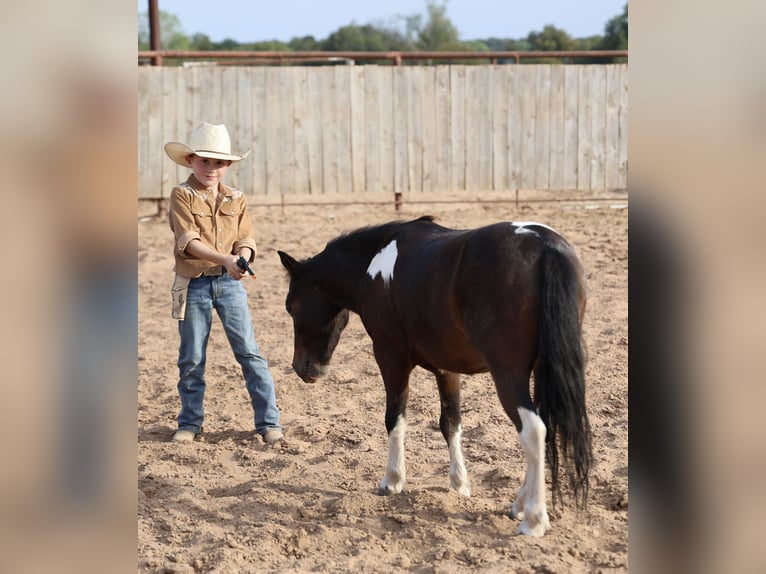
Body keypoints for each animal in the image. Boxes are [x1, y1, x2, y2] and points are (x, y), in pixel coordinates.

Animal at [278, 215, 592, 537]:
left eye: (292, 307)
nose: (302, 368)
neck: (374, 263)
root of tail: (544, 246)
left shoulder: (390, 356)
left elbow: (395, 418)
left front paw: (393, 480)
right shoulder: (447, 367)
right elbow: (450, 422)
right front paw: (459, 483)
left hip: (509, 375)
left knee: (533, 431)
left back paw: (534, 519)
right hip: (541, 372)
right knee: (544, 429)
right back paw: (519, 504)